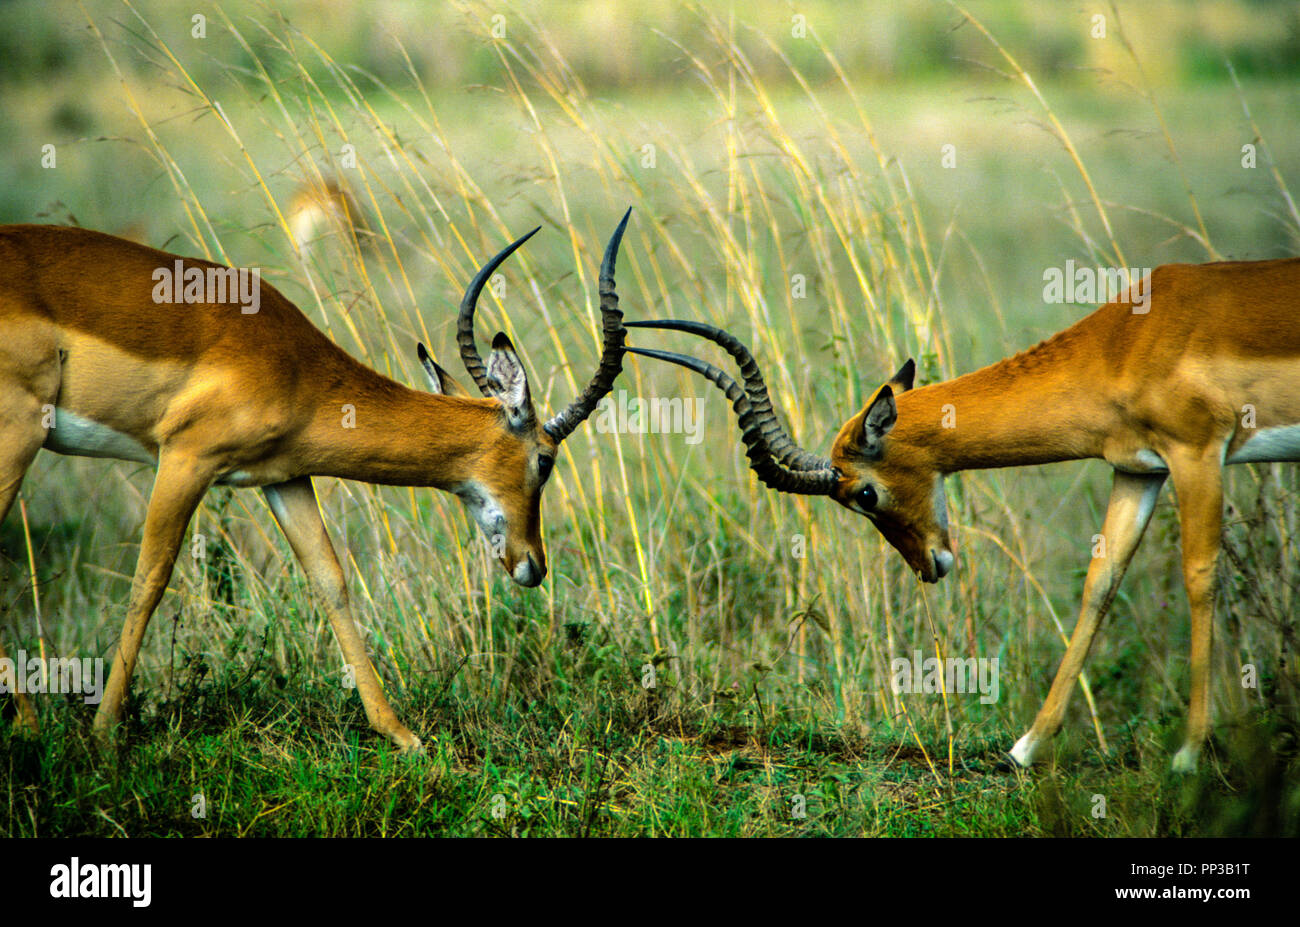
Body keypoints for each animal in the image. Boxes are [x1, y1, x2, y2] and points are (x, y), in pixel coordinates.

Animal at [0, 206, 629, 748]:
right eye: (546, 459)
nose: (533, 565)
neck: (295, 364)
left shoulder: (285, 479)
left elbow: (332, 582)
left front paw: (402, 735)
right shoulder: (185, 458)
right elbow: (150, 579)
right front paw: (105, 733)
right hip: (21, 432)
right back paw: (30, 727)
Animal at [626, 256, 1300, 769]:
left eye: (863, 493)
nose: (932, 565)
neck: (1130, 338)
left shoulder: (1197, 453)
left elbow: (1200, 578)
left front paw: (1187, 754)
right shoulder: (1138, 470)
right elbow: (1099, 585)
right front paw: (1025, 748)